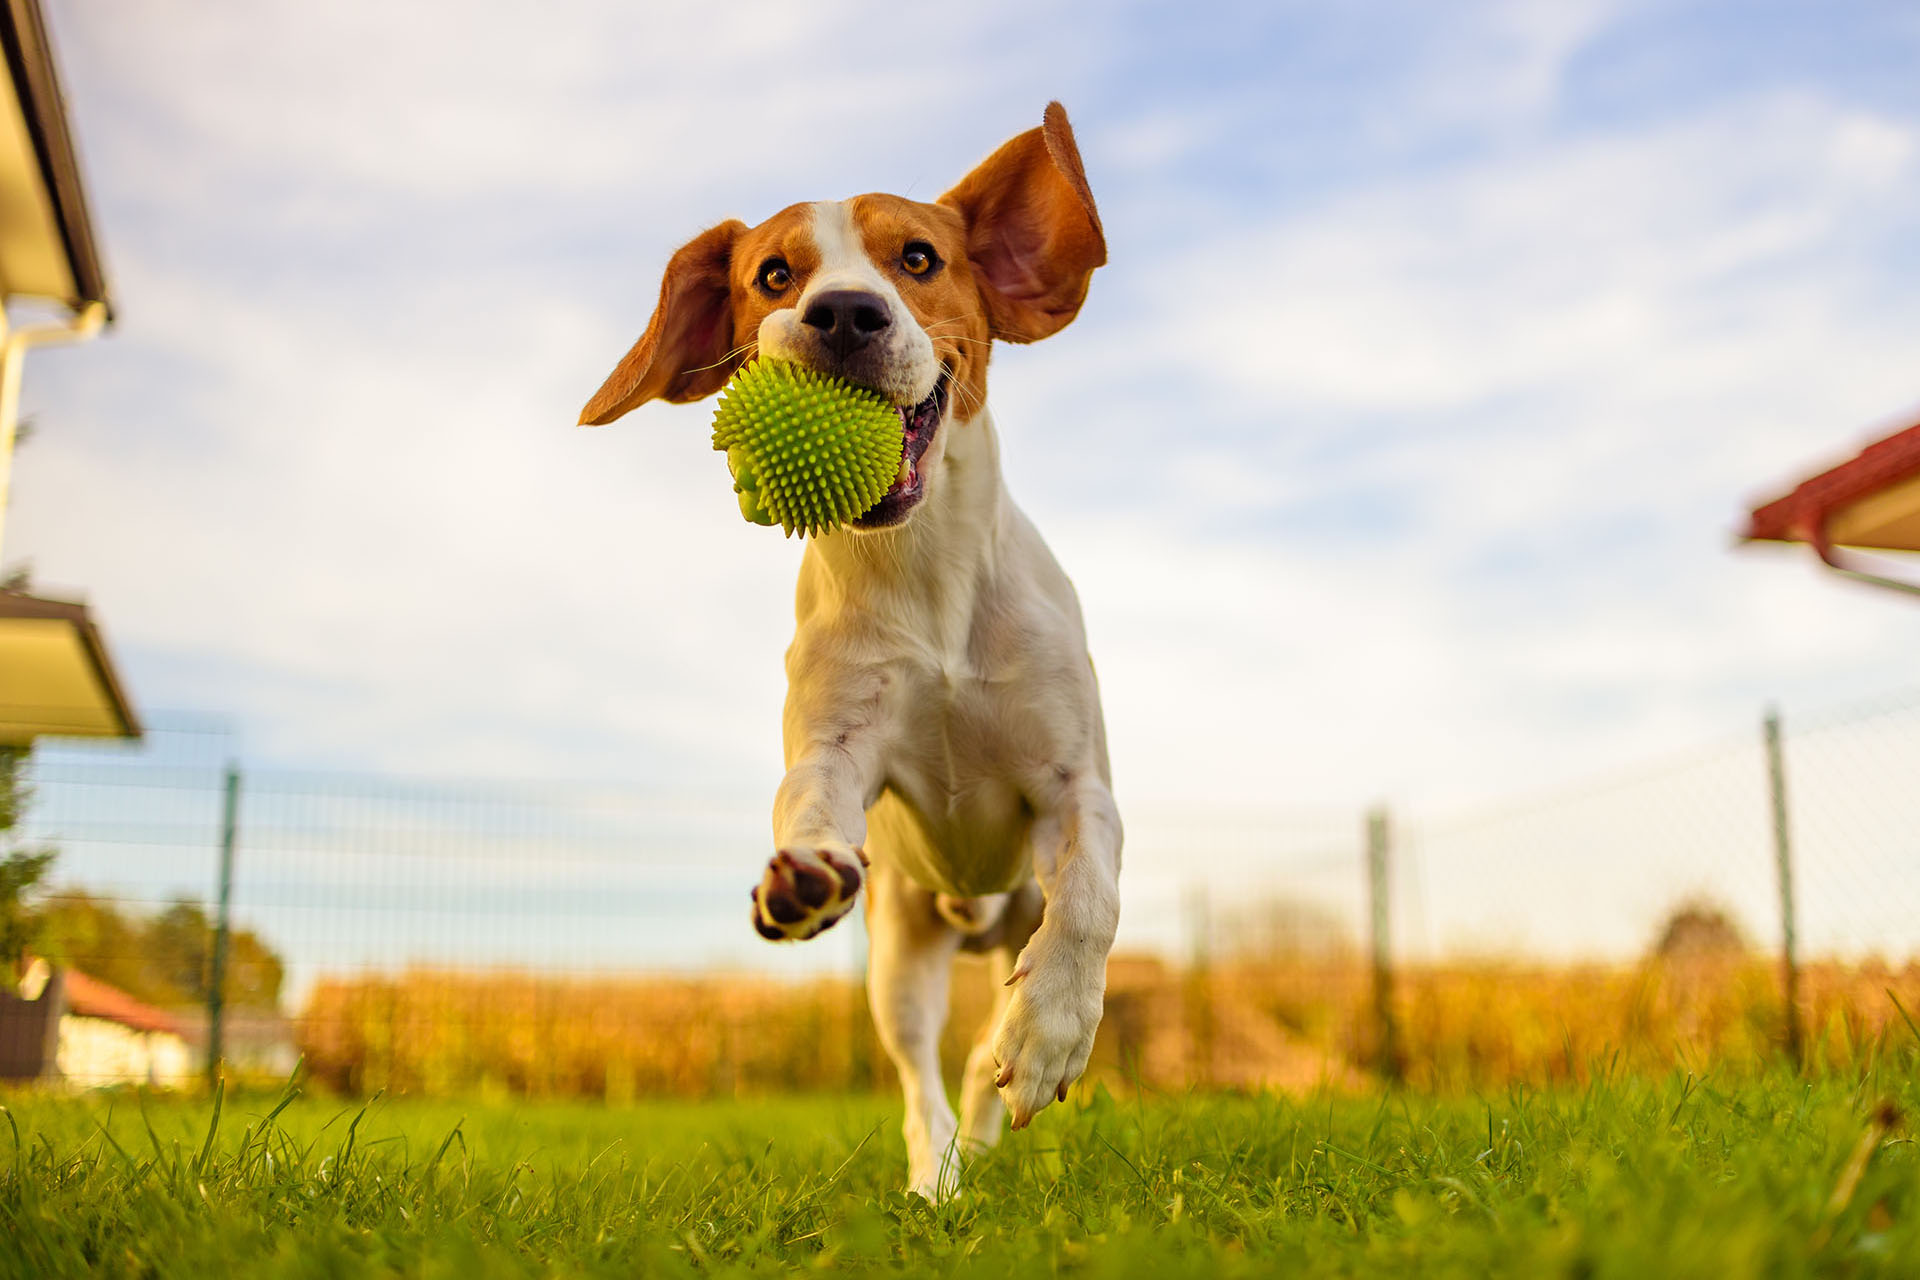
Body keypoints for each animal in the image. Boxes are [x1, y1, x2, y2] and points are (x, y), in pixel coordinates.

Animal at [583, 102, 1121, 1205]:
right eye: (772, 275)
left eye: (918, 258)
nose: (841, 313)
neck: (924, 578)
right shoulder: (835, 744)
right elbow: (807, 800)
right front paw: (799, 875)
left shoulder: (1077, 785)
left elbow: (1092, 898)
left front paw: (1050, 1032)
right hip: (900, 955)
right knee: (923, 1075)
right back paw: (937, 1177)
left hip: (1009, 911)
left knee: (988, 1031)